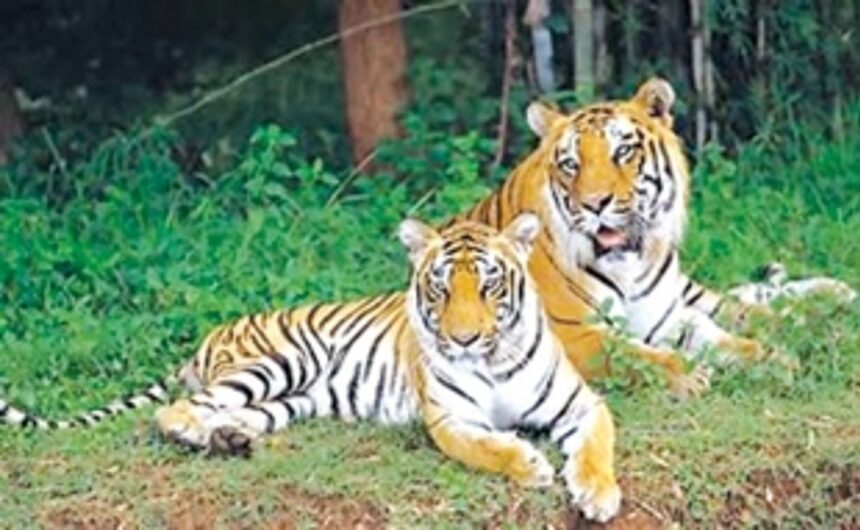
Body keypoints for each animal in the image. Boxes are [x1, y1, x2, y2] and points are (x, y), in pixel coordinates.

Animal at [1, 215, 621, 523]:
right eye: (442, 287)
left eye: (489, 283)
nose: (463, 337)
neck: (489, 361)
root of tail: (206, 339)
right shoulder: (450, 422)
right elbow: (487, 446)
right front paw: (531, 464)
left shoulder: (581, 403)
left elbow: (597, 443)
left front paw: (597, 495)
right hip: (280, 362)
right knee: (177, 410)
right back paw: (201, 434)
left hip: (292, 399)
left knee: (235, 415)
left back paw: (230, 439)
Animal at [454, 78, 853, 396]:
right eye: (571, 164)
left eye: (622, 151)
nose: (594, 204)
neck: (629, 266)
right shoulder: (569, 334)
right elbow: (630, 354)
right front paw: (690, 376)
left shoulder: (665, 314)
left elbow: (720, 337)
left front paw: (776, 359)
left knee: (742, 306)